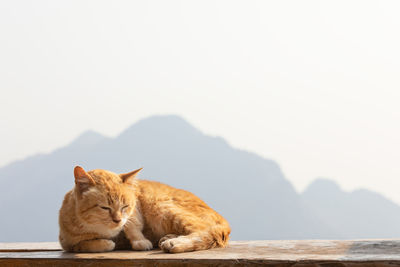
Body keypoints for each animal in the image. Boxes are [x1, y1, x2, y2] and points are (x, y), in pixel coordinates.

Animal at [57, 166, 230, 254]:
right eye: (104, 207)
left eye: (125, 206)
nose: (117, 220)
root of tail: (225, 223)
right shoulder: (67, 241)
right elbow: (81, 245)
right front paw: (104, 244)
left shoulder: (136, 208)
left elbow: (132, 226)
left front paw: (139, 241)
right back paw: (168, 238)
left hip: (161, 206)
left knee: (206, 231)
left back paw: (175, 242)